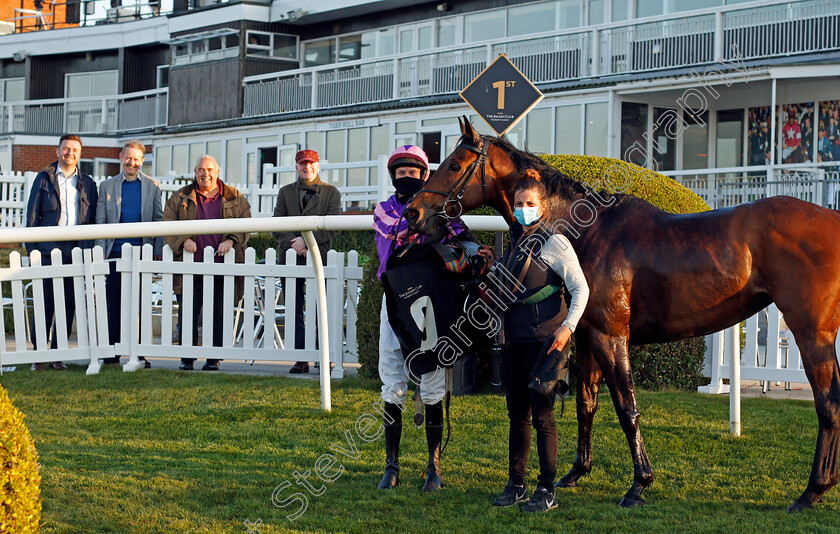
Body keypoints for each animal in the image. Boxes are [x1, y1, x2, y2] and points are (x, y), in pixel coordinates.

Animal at [404, 116, 840, 510]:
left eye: (454, 165)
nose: (413, 213)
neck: (587, 231)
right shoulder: (582, 338)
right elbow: (586, 404)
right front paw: (575, 473)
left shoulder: (610, 336)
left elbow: (626, 408)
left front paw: (639, 484)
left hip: (811, 333)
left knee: (827, 402)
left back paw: (811, 491)